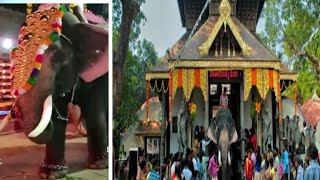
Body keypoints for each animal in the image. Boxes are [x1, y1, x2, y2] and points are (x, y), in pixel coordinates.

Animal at [3, 3, 107, 179]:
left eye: (58, 57)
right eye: (14, 55)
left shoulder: (99, 75)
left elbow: (94, 112)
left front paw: (99, 165)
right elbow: (58, 115)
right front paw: (51, 174)